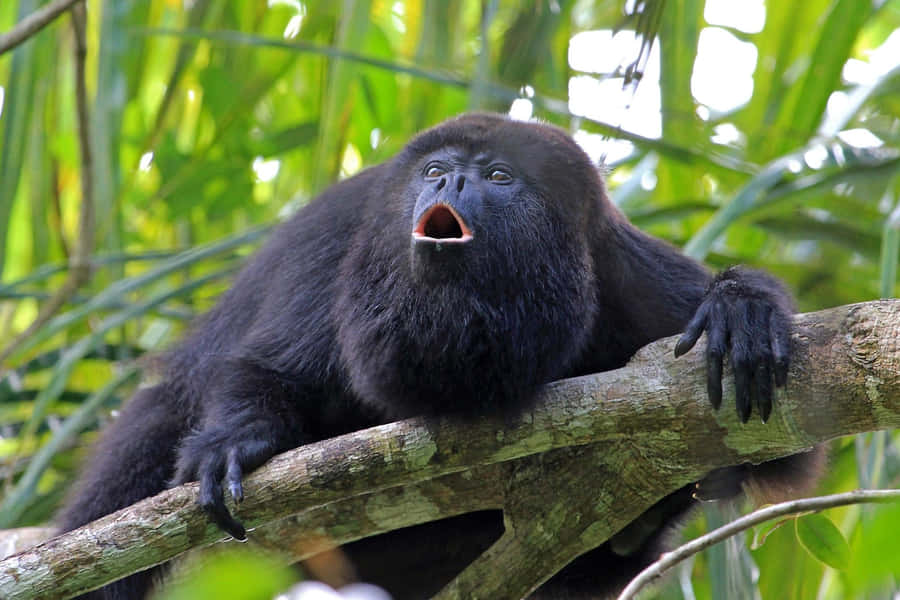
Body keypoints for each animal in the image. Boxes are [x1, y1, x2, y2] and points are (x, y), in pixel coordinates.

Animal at [56, 113, 822, 599]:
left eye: (499, 175)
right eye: (434, 169)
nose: (448, 184)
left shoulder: (621, 269)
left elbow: (781, 449)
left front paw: (739, 308)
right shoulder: (345, 235)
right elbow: (270, 369)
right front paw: (235, 442)